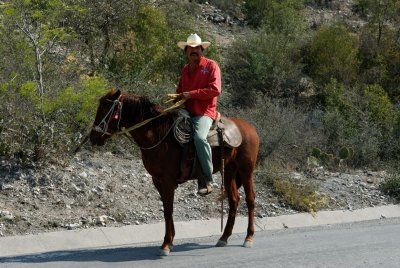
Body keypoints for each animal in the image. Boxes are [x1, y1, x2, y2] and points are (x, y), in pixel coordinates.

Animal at [89, 88, 260, 255]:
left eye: (105, 108)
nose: (93, 137)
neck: (158, 136)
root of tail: (250, 128)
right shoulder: (157, 180)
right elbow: (166, 210)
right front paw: (170, 242)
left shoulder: (168, 180)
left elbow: (169, 210)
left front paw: (165, 244)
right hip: (230, 170)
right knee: (234, 200)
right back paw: (224, 238)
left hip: (246, 170)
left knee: (250, 199)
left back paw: (249, 237)